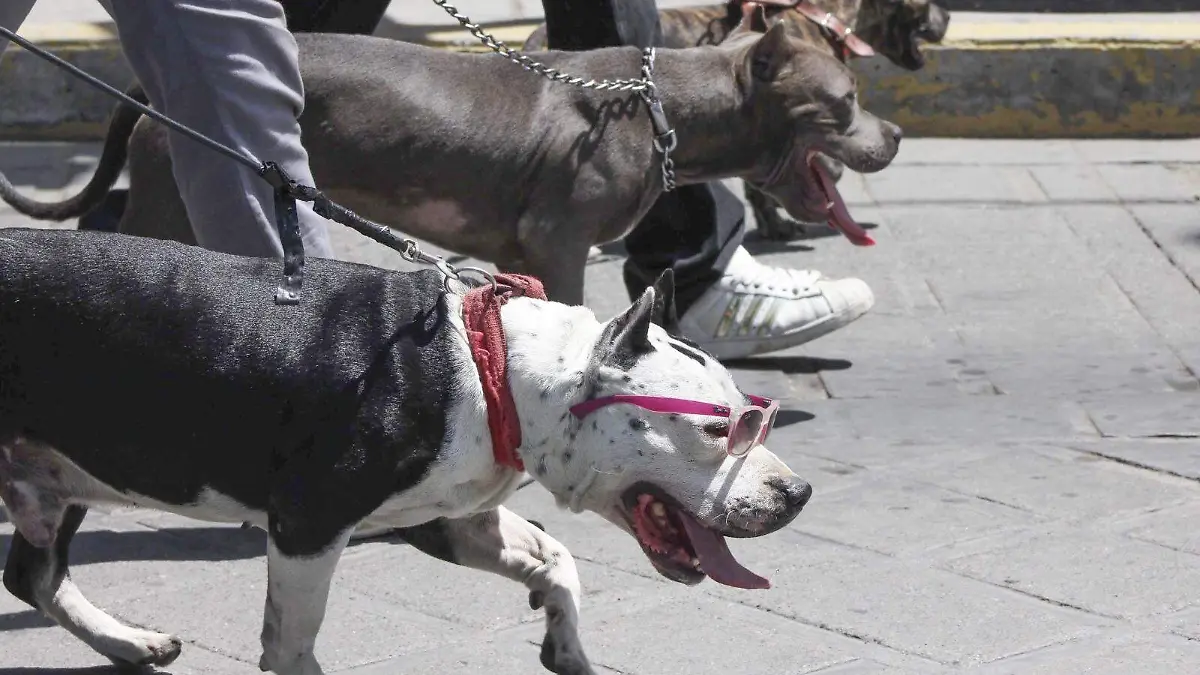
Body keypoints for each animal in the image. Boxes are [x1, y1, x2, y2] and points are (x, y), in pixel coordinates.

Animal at [0, 227, 816, 672]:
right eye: (718, 429)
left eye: (753, 417)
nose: (797, 492)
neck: (494, 366)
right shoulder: (309, 526)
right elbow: (291, 642)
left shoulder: (446, 518)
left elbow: (556, 559)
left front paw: (567, 646)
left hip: (51, 472)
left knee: (34, 576)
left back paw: (128, 643)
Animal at [2, 13, 902, 302]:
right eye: (846, 101)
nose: (892, 136)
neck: (665, 106)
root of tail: (148, 88)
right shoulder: (558, 245)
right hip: (170, 197)